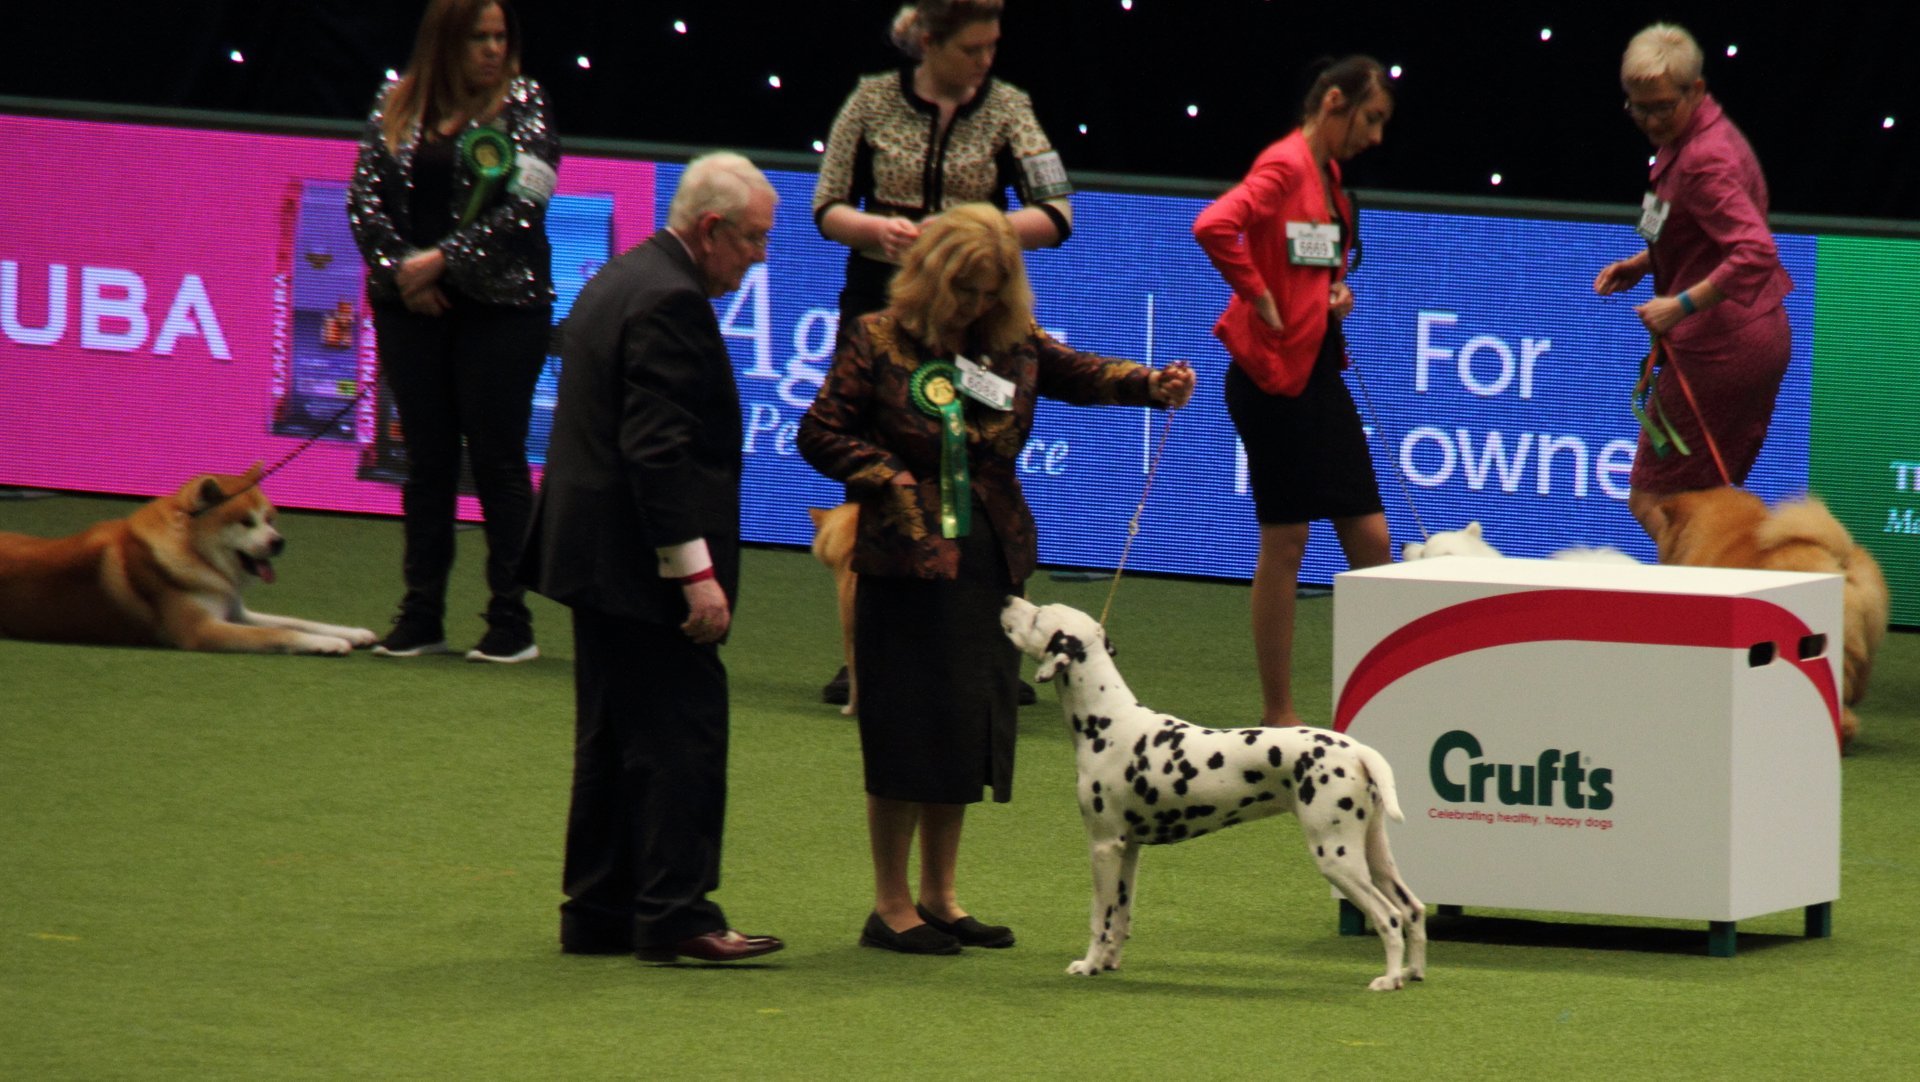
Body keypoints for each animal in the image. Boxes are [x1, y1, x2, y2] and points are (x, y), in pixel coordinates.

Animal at [1006, 594, 1428, 989]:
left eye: (1038, 615)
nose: (1007, 600)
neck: (1108, 722)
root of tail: (1357, 750)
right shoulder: (1129, 849)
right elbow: (1122, 917)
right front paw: (1110, 962)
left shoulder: (1104, 846)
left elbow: (1100, 919)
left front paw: (1090, 964)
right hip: (1373, 852)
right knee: (1412, 909)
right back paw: (1413, 971)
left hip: (1336, 857)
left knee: (1389, 916)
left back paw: (1390, 979)